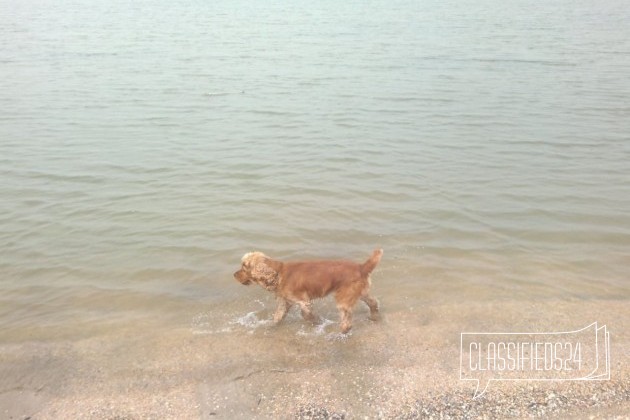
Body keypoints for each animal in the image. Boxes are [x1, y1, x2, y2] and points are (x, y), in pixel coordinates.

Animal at [233, 248, 386, 334]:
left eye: (244, 266)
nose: (234, 275)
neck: (279, 273)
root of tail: (361, 267)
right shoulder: (285, 302)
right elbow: (277, 317)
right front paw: (269, 326)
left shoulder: (303, 301)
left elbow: (307, 315)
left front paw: (318, 322)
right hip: (361, 293)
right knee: (374, 302)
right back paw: (373, 317)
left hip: (344, 298)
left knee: (347, 320)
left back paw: (342, 331)